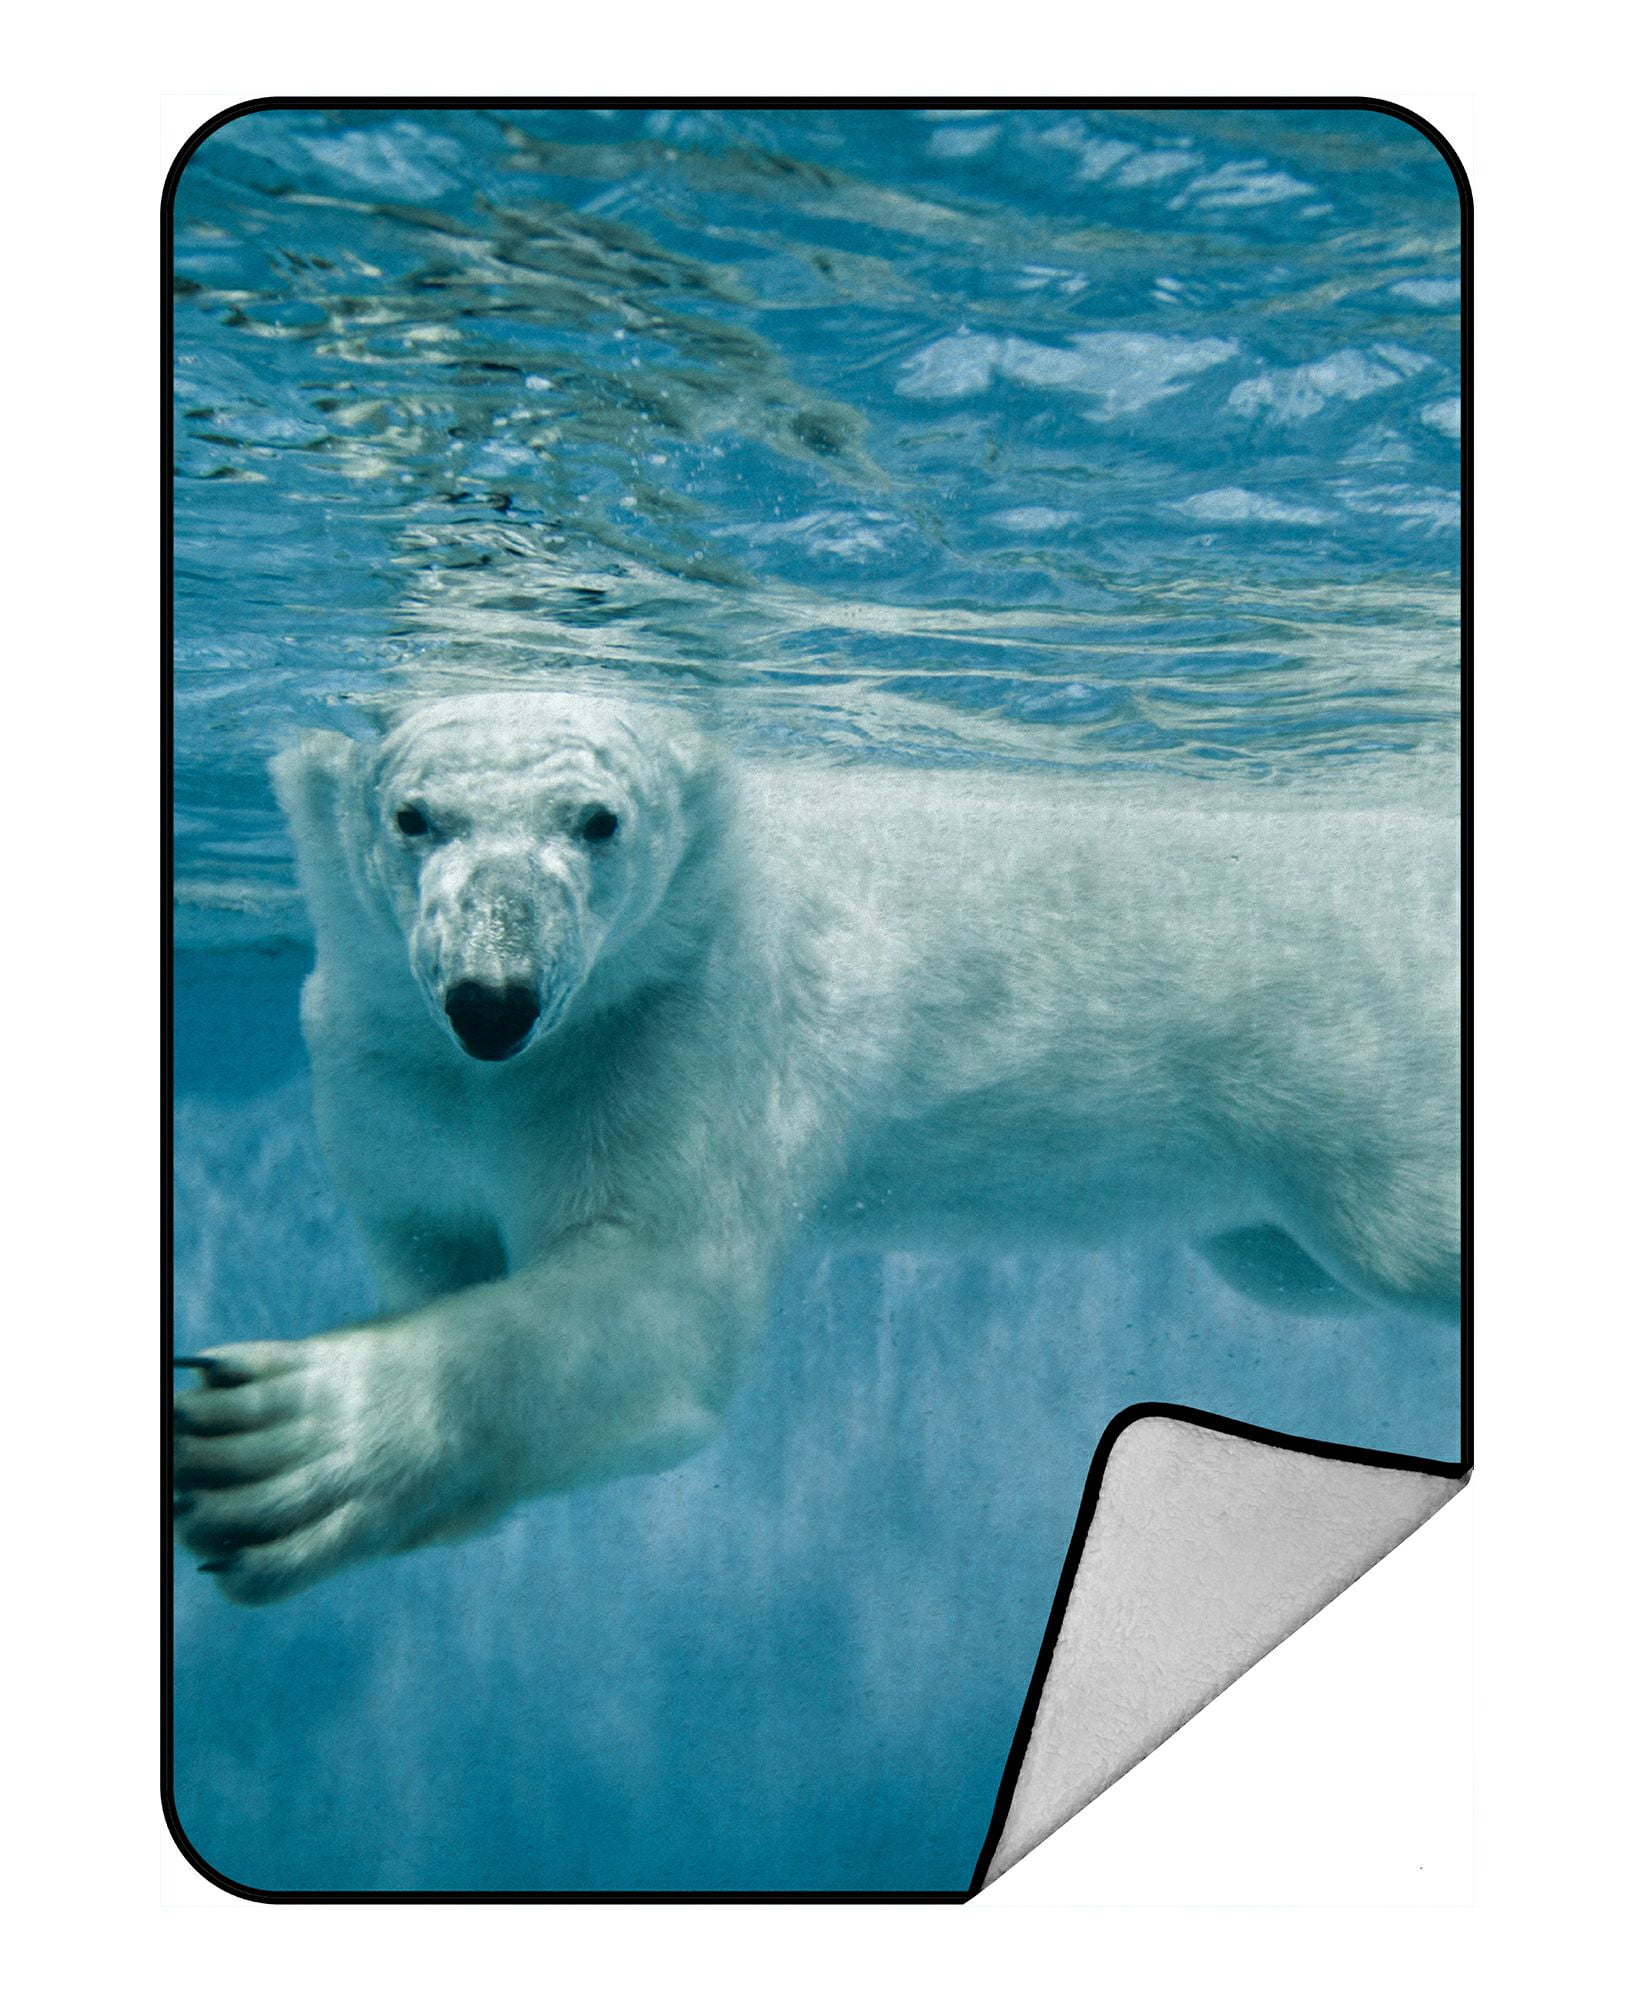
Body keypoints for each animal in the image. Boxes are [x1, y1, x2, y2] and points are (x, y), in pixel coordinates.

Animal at [174, 690, 1460, 1604]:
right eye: (412, 815)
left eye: (598, 819)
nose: (495, 1000)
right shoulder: (381, 1071)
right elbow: (432, 1236)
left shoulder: (676, 1027)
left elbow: (657, 1296)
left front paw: (284, 1442)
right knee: (1279, 1264)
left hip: (1339, 1060)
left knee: (1402, 1240)